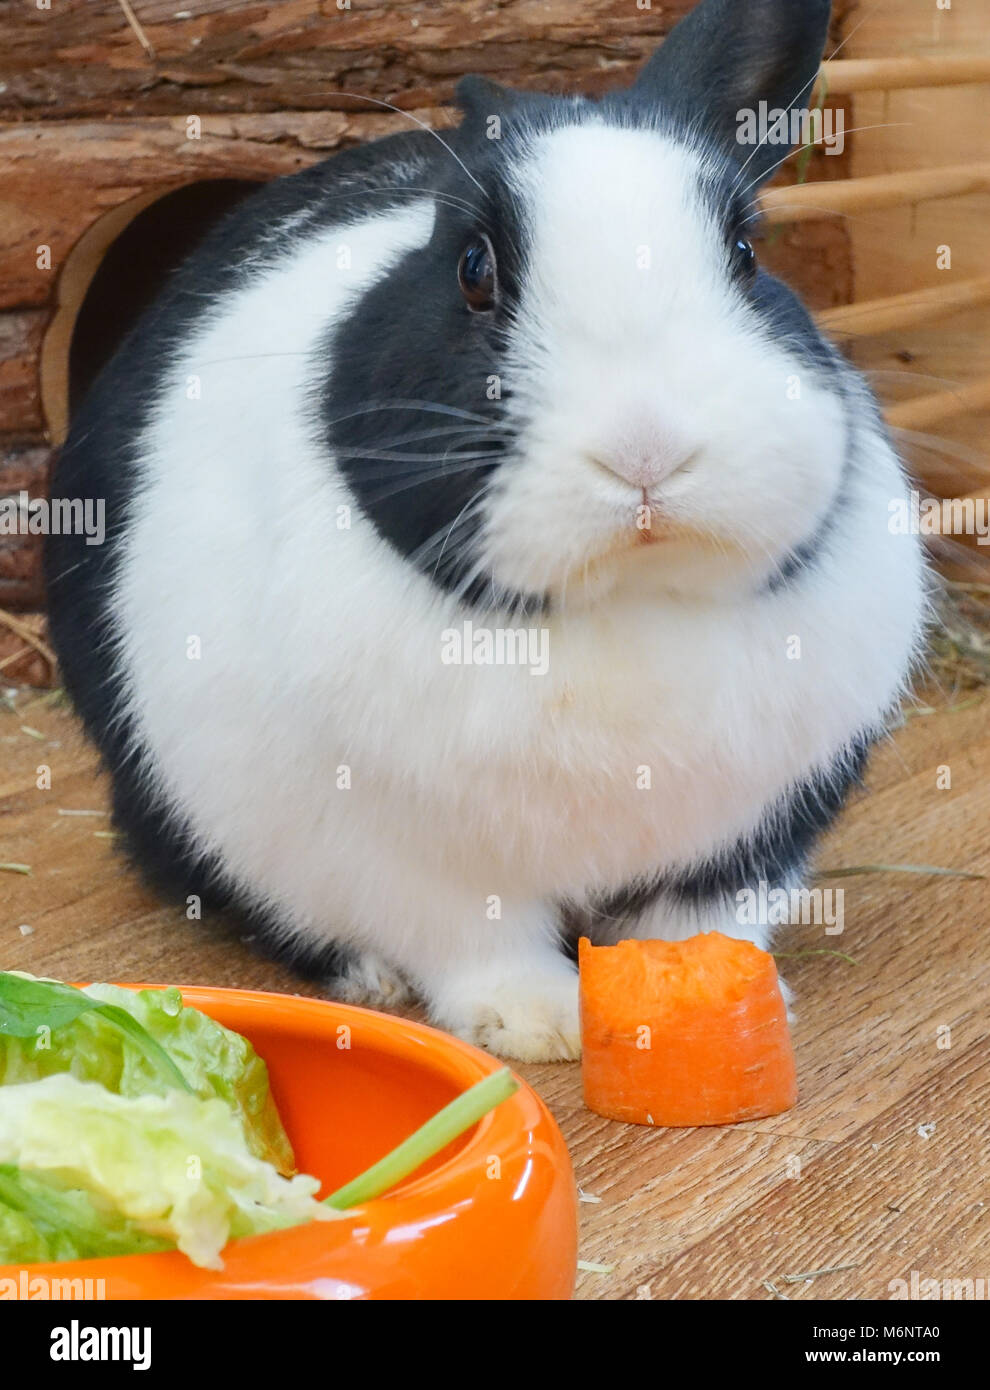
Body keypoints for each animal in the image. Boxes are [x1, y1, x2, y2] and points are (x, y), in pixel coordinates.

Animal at [46, 0, 926, 1062]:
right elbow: (473, 936)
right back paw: (367, 974)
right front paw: (537, 1024)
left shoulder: (747, 837)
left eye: (748, 258)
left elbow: (695, 922)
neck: (620, 604)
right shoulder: (403, 856)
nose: (646, 450)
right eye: (473, 272)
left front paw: (713, 1005)